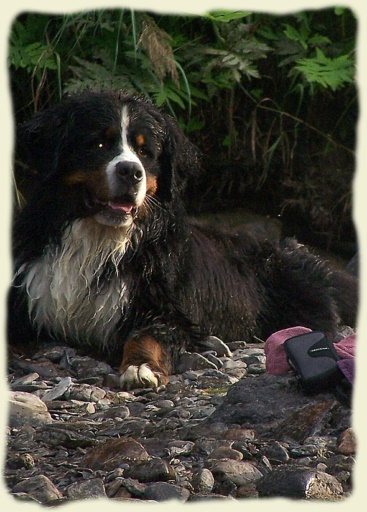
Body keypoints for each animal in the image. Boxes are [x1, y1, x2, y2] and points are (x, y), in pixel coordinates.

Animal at [7, 90, 360, 390]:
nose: (131, 171)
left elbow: (147, 336)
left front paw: (140, 367)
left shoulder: (167, 309)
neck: (98, 239)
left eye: (145, 151)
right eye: (98, 144)